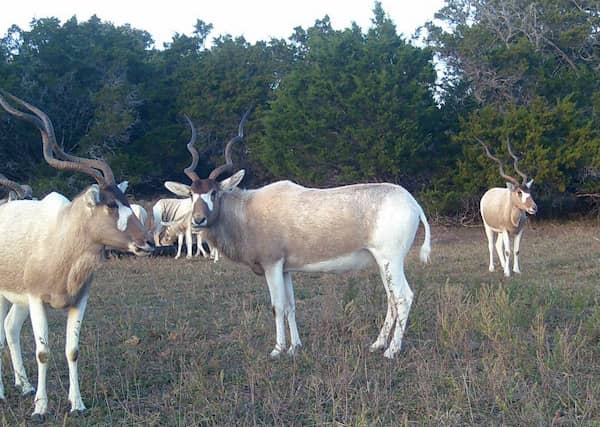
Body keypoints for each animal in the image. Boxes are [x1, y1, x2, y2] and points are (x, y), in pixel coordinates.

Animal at [0, 91, 156, 422]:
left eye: (126, 201)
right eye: (110, 205)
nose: (147, 242)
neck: (62, 238)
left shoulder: (79, 300)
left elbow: (72, 351)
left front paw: (78, 404)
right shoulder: (36, 300)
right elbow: (43, 352)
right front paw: (41, 409)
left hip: (16, 299)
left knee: (9, 328)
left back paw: (24, 386)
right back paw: (6, 393)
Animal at [162, 108, 428, 360]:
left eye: (214, 192)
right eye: (191, 194)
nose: (198, 220)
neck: (247, 211)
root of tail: (413, 203)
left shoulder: (272, 265)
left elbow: (277, 306)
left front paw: (278, 350)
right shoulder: (285, 269)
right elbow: (290, 305)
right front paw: (294, 348)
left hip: (390, 260)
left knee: (403, 297)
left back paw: (391, 351)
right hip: (383, 263)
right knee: (391, 299)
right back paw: (377, 344)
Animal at [478, 138, 540, 278]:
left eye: (529, 191)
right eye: (519, 192)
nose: (534, 208)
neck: (513, 216)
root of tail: (488, 192)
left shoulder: (519, 231)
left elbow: (516, 250)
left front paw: (516, 270)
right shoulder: (506, 230)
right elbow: (508, 251)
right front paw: (508, 273)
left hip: (500, 231)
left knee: (497, 245)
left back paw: (503, 265)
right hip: (488, 227)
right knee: (491, 245)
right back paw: (492, 268)